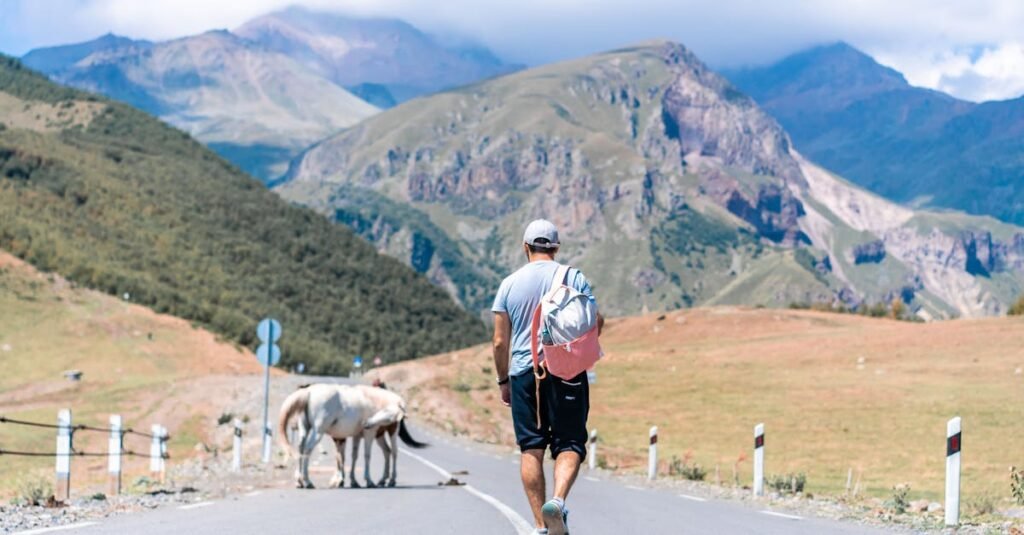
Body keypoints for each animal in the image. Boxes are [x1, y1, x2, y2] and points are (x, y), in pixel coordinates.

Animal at [274, 383, 425, 487]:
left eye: (389, 414)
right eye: (385, 411)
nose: (367, 422)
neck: (374, 400)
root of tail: (309, 392)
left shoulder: (358, 435)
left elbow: (354, 456)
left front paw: (353, 481)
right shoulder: (369, 433)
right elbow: (366, 455)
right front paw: (368, 480)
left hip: (305, 429)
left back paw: (299, 481)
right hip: (318, 432)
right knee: (307, 450)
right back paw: (307, 481)